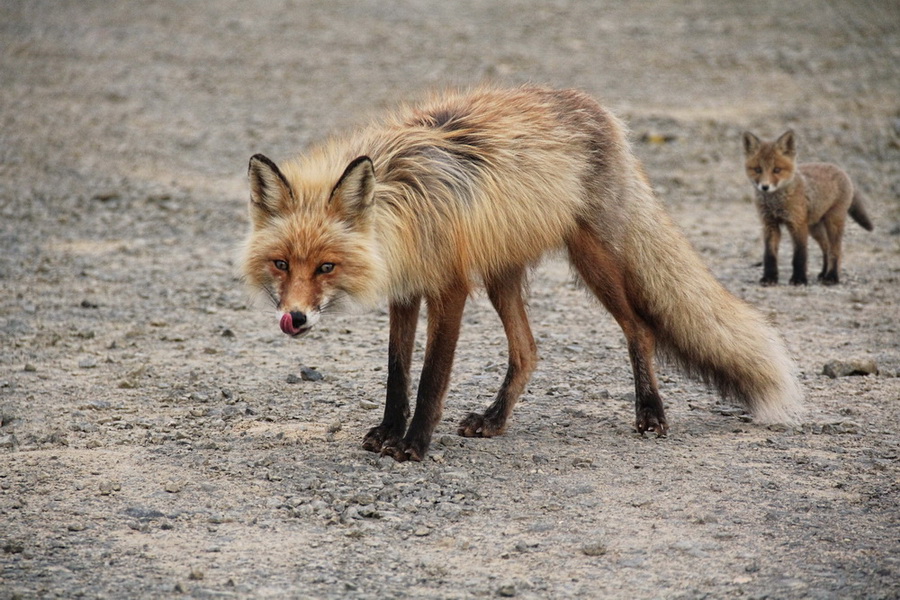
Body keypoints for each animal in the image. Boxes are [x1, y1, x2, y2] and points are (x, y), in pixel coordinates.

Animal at [241, 84, 800, 462]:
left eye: (326, 266)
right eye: (282, 263)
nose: (295, 319)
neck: (406, 204)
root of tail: (599, 110)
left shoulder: (449, 287)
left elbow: (431, 376)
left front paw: (414, 444)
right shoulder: (406, 287)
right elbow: (397, 373)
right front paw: (388, 431)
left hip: (591, 260)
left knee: (640, 329)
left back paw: (651, 412)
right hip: (502, 275)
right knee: (528, 351)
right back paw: (495, 420)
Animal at [740, 130, 872, 284]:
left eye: (777, 170)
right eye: (758, 170)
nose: (765, 187)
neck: (776, 203)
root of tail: (840, 169)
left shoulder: (797, 224)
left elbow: (800, 255)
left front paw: (799, 279)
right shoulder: (770, 224)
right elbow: (769, 256)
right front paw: (769, 277)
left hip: (832, 222)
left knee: (836, 250)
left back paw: (832, 277)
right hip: (814, 228)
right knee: (826, 247)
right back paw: (823, 273)